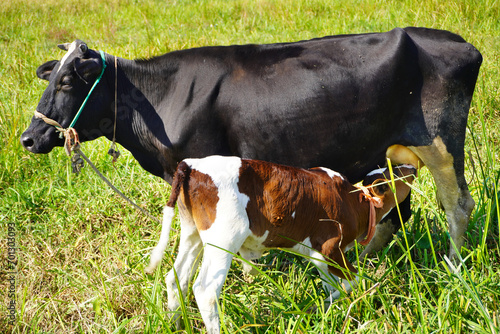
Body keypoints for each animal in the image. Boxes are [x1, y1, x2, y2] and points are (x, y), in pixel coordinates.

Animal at [21, 27, 482, 260]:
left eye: (66, 82)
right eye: (50, 78)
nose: (28, 138)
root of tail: (457, 41)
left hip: (440, 142)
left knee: (458, 205)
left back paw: (455, 268)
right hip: (391, 155)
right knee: (393, 212)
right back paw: (367, 264)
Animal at [146, 156, 418, 332]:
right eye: (397, 173)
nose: (413, 165)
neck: (355, 203)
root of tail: (192, 164)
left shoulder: (317, 254)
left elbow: (332, 285)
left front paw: (328, 309)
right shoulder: (330, 248)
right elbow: (354, 281)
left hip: (193, 233)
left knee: (176, 277)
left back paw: (175, 324)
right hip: (223, 239)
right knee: (205, 291)